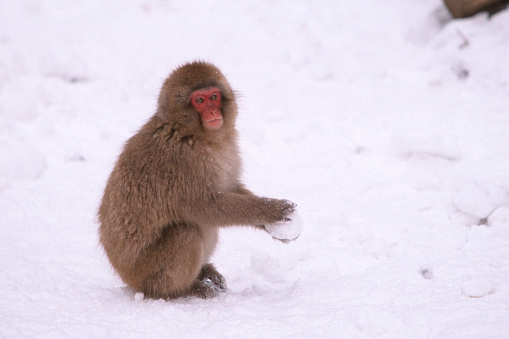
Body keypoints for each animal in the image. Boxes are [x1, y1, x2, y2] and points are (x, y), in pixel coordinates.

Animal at [97, 61, 296, 300]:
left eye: (214, 97)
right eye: (199, 100)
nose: (212, 111)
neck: (194, 134)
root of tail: (124, 275)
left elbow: (230, 188)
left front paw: (271, 225)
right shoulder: (183, 160)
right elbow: (205, 206)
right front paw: (271, 210)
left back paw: (205, 272)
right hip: (147, 272)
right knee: (186, 232)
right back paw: (185, 290)